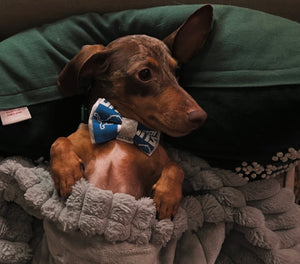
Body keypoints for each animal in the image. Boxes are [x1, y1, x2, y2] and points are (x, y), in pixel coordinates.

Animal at [49, 5, 213, 220]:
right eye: (144, 74)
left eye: (176, 72)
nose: (200, 117)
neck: (122, 129)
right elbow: (58, 140)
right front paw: (67, 171)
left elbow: (176, 166)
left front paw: (167, 197)